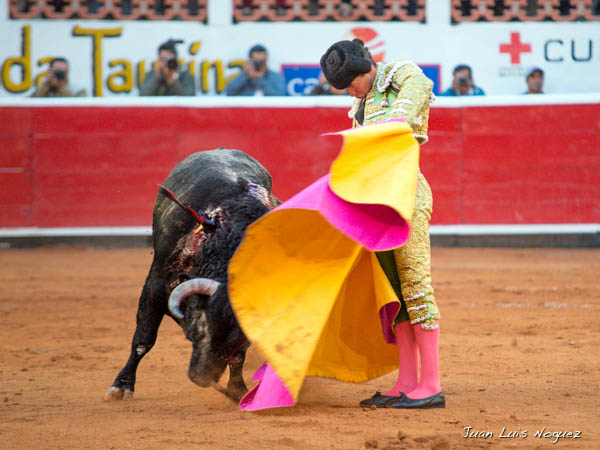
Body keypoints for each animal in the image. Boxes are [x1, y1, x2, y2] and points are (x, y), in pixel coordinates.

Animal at [104, 149, 276, 402]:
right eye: (199, 329)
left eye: (239, 340)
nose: (201, 377)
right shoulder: (155, 283)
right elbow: (144, 339)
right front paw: (121, 386)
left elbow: (239, 357)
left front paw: (237, 390)